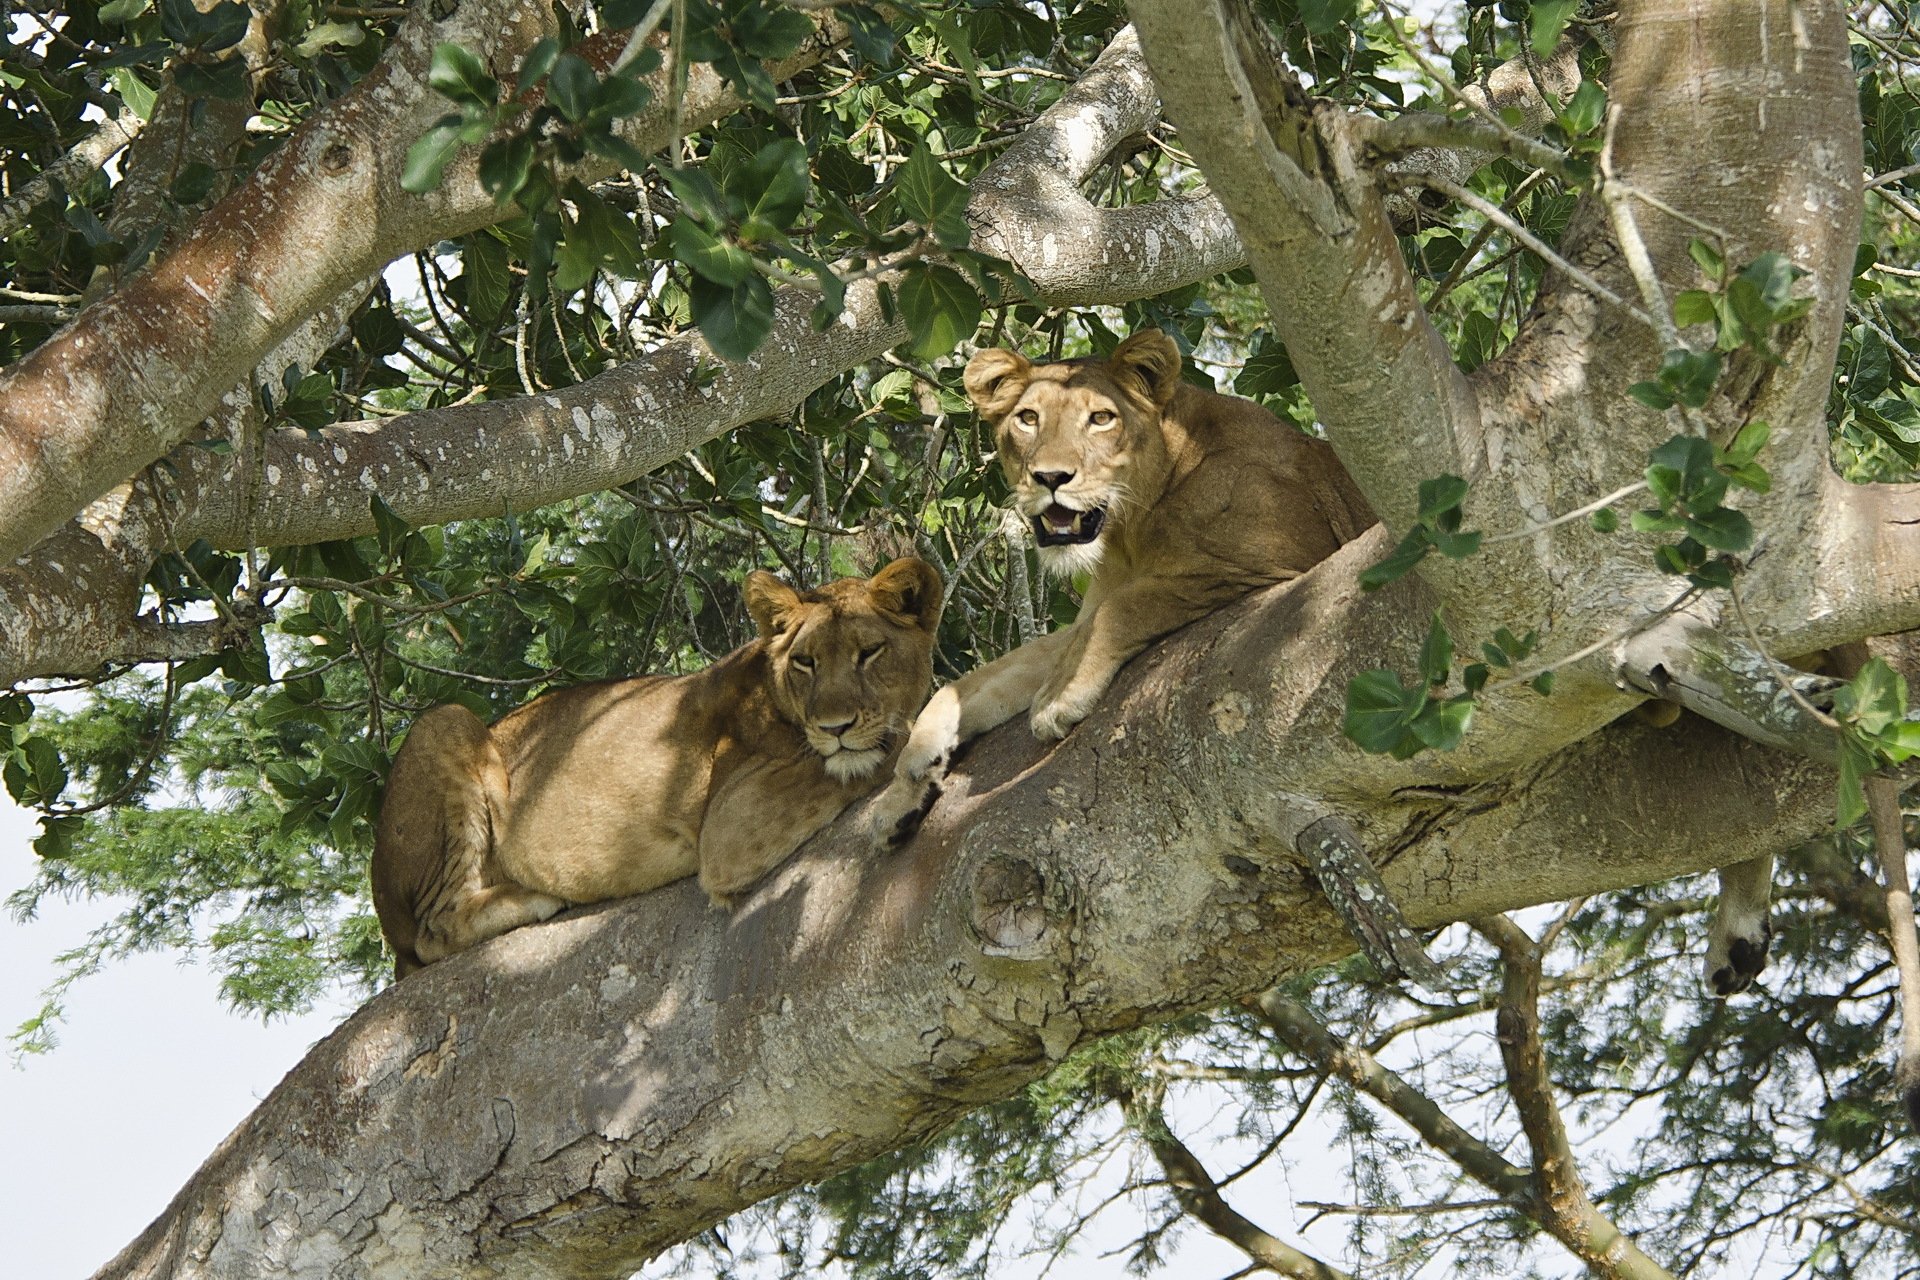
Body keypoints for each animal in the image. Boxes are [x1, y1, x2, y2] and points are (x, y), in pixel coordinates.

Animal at [373, 557, 943, 977]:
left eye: (870, 652)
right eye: (805, 662)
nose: (835, 727)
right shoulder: (730, 826)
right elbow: (888, 745)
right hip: (445, 722)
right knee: (433, 931)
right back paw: (535, 897)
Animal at [871, 328, 1374, 844]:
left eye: (1101, 418)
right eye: (1028, 418)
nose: (1050, 478)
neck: (1128, 532)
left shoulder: (1279, 560)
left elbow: (1129, 606)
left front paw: (1058, 697)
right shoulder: (1087, 613)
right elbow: (982, 679)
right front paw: (906, 780)